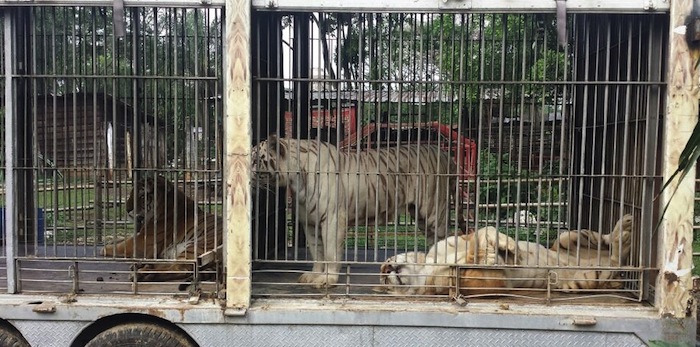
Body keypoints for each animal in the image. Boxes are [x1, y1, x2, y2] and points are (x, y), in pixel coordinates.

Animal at [253, 136, 464, 288]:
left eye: (255, 159)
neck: (296, 180)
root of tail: (445, 154)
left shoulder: (332, 219)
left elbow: (330, 253)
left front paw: (327, 280)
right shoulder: (310, 223)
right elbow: (317, 252)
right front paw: (313, 276)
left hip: (434, 211)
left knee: (448, 237)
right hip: (420, 216)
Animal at [382, 215, 636, 296]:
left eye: (388, 261)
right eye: (384, 283)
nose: (385, 270)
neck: (424, 269)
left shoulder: (458, 240)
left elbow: (483, 233)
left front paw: (508, 247)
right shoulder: (488, 284)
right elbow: (471, 264)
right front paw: (490, 258)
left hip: (568, 237)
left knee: (604, 244)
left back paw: (624, 228)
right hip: (589, 276)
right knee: (616, 262)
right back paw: (624, 240)